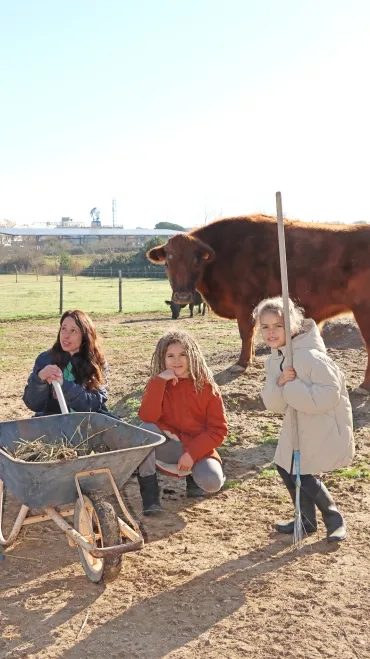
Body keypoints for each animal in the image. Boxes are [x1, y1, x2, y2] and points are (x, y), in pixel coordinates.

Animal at [146, 215, 370, 392]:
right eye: (168, 262)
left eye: (196, 261)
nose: (183, 296)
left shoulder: (244, 306)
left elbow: (246, 334)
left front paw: (241, 363)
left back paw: (364, 387)